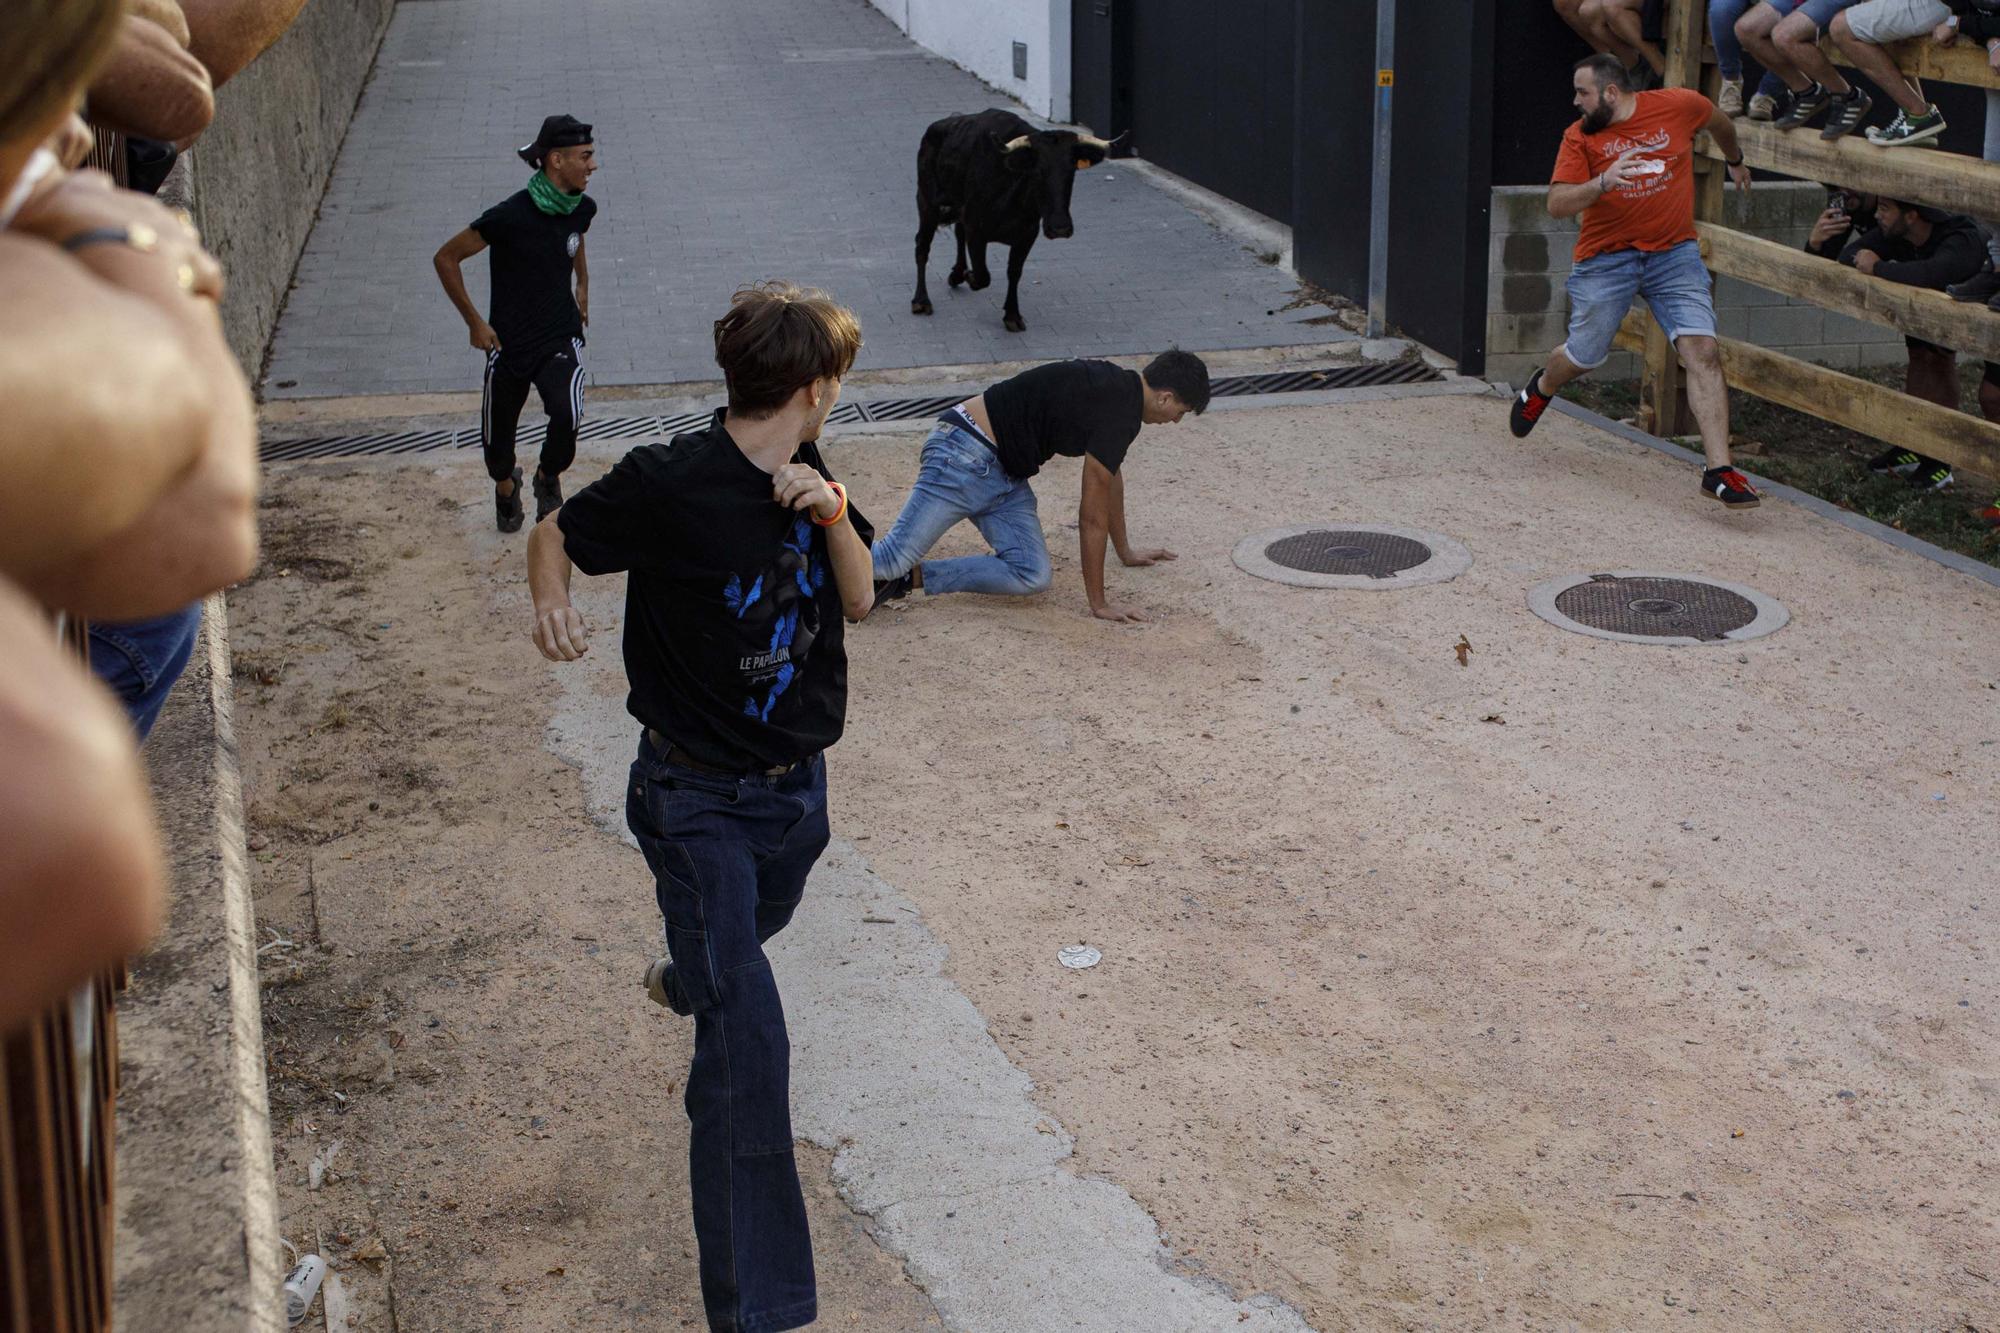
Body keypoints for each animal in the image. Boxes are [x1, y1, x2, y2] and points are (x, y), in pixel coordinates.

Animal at [916, 111, 1120, 334]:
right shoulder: (976, 230)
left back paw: (957, 274)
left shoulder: (1027, 235)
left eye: (1071, 171)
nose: (1060, 228)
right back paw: (921, 301)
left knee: (958, 233)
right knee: (922, 246)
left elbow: (1014, 272)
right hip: (927, 203)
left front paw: (1012, 315)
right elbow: (983, 276)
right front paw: (970, 276)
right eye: (1038, 170)